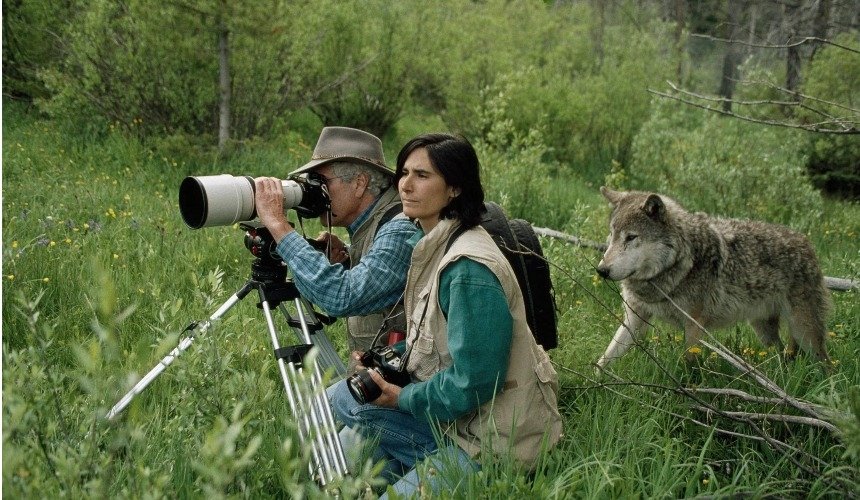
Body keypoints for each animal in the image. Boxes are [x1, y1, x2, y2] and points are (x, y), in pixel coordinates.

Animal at [596, 188, 828, 372]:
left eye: (631, 237)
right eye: (612, 234)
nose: (601, 270)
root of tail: (807, 243)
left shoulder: (694, 324)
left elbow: (688, 364)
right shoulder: (634, 319)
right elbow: (605, 358)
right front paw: (595, 385)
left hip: (804, 332)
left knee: (825, 363)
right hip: (764, 330)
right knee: (782, 354)